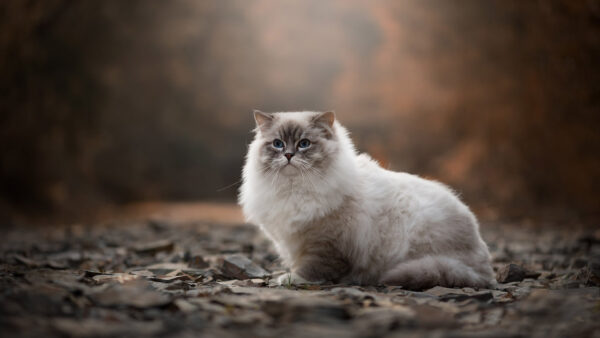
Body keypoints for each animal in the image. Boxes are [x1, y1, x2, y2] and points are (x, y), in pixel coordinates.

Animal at [237, 111, 494, 290]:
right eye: (277, 144)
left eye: (304, 144)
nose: (289, 155)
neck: (294, 190)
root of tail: (485, 271)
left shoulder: (325, 244)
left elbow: (312, 269)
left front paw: (291, 279)